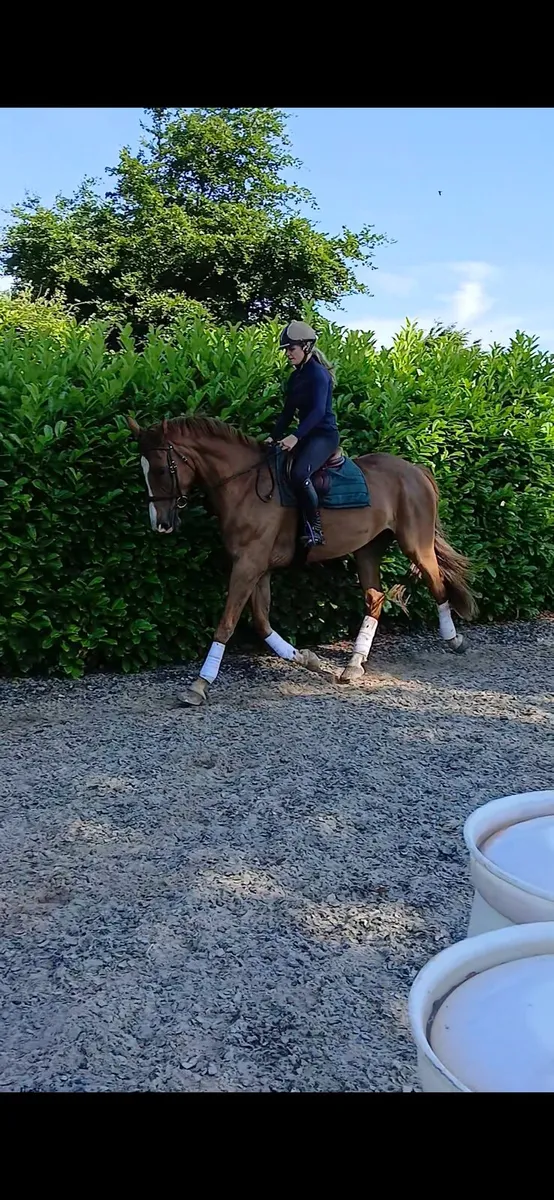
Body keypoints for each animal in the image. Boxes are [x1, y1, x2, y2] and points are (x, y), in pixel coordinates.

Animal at [128, 415, 476, 707]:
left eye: (160, 469)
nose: (161, 523)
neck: (244, 486)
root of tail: (416, 470)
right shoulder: (259, 568)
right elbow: (261, 622)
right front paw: (306, 658)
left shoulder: (248, 564)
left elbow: (227, 623)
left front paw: (199, 684)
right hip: (367, 549)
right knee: (375, 599)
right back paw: (353, 665)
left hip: (416, 544)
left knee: (437, 585)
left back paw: (454, 639)